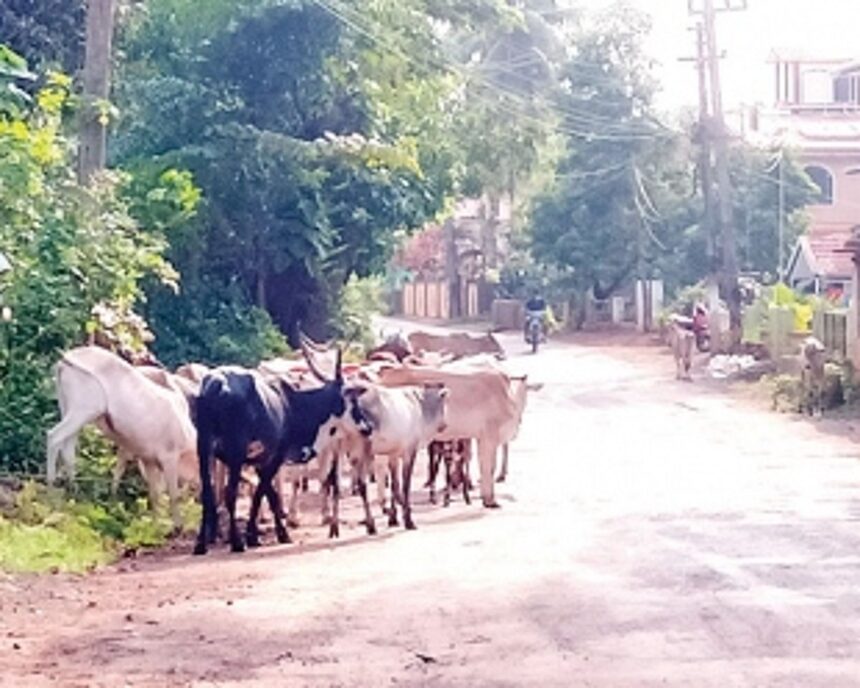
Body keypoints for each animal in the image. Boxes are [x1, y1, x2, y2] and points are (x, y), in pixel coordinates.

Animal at [46, 347, 197, 529]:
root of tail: (66, 358)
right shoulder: (167, 457)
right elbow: (172, 494)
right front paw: (176, 526)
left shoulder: (148, 458)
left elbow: (154, 492)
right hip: (84, 409)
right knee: (54, 437)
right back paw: (51, 489)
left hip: (68, 408)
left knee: (68, 447)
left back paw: (74, 492)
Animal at [193, 348, 372, 554]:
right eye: (353, 401)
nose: (368, 427)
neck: (291, 405)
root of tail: (216, 383)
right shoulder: (275, 457)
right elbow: (261, 493)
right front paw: (258, 536)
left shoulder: (261, 461)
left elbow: (269, 494)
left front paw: (268, 535)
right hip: (235, 453)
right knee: (229, 493)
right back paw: (236, 542)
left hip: (204, 449)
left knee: (207, 492)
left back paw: (200, 544)